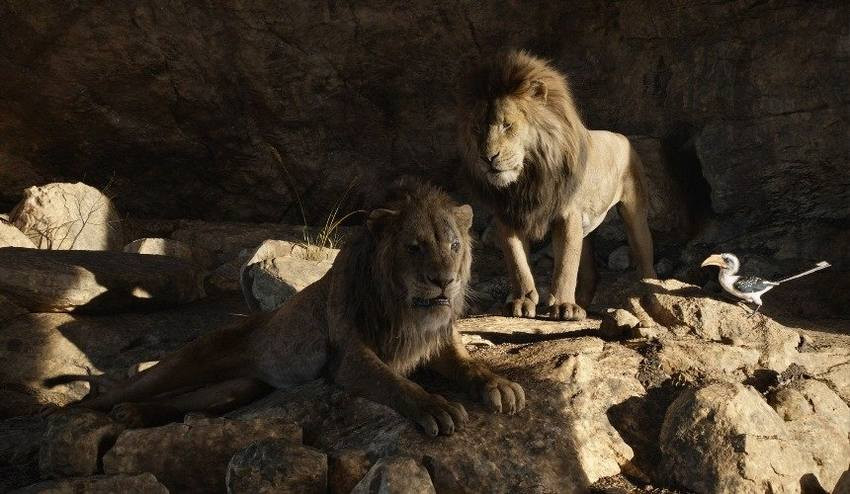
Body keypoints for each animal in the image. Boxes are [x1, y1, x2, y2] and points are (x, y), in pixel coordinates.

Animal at [70, 181, 524, 436]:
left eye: (454, 245)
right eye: (414, 247)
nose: (444, 280)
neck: (407, 308)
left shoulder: (438, 342)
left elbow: (471, 366)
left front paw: (499, 385)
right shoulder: (348, 356)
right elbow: (395, 383)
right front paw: (435, 406)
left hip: (236, 388)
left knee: (185, 403)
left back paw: (134, 416)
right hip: (188, 360)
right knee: (131, 389)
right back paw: (87, 411)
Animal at [458, 50, 656, 321]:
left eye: (507, 124)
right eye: (477, 128)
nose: (487, 157)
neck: (528, 178)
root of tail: (621, 136)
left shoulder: (568, 215)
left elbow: (565, 266)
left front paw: (563, 306)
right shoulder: (507, 215)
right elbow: (517, 262)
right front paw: (522, 301)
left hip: (634, 212)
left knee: (645, 259)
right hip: (586, 228)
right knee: (589, 271)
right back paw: (581, 304)